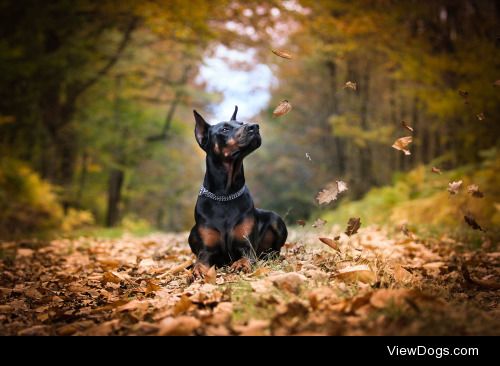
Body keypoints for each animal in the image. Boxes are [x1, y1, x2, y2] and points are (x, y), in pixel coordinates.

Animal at [188, 106, 290, 278]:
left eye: (241, 123)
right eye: (224, 129)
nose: (255, 127)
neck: (225, 195)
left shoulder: (246, 246)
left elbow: (246, 257)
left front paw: (241, 264)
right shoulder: (207, 250)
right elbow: (200, 261)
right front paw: (197, 270)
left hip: (275, 219)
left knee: (275, 251)